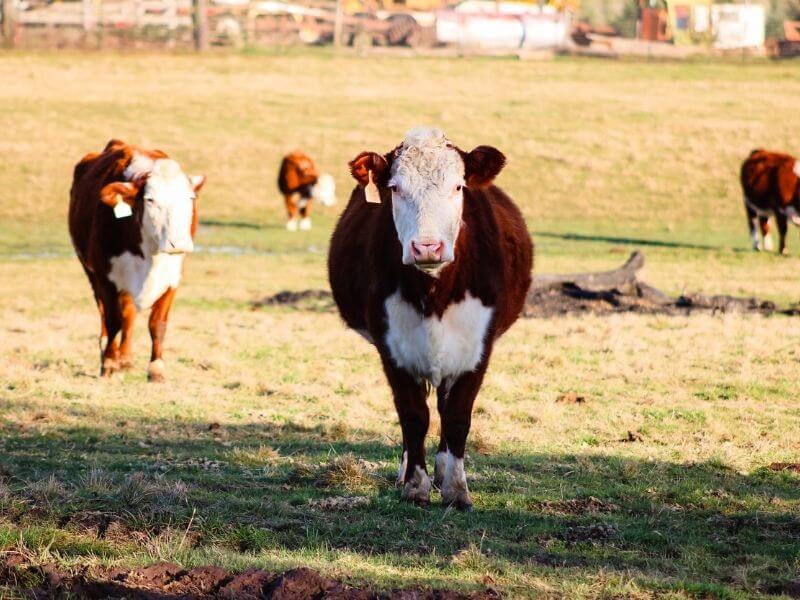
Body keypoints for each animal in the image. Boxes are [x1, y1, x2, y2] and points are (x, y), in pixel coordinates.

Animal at [69, 139, 205, 380]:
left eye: (190, 198)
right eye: (150, 200)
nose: (179, 243)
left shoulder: (172, 277)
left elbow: (157, 323)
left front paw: (156, 369)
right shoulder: (106, 277)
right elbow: (113, 320)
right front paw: (109, 363)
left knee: (129, 314)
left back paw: (125, 358)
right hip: (91, 273)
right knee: (106, 315)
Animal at [328, 127, 536, 510]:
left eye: (458, 187)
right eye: (395, 188)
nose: (427, 247)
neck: (434, 294)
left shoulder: (477, 348)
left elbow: (456, 417)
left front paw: (455, 489)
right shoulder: (392, 347)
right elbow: (413, 416)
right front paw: (415, 486)